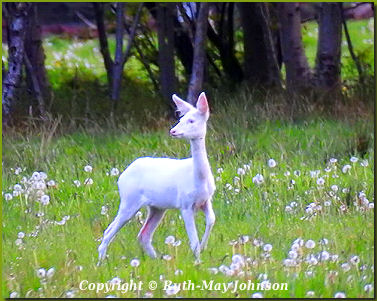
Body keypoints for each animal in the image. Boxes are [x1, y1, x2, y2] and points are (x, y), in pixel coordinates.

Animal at [97, 91, 214, 262]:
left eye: (191, 120)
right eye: (180, 119)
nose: (173, 131)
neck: (198, 178)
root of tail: (121, 176)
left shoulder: (205, 200)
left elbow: (211, 220)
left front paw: (204, 248)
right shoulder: (185, 204)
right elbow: (194, 241)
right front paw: (198, 261)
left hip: (157, 207)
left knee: (143, 234)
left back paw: (157, 259)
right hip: (129, 200)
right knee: (109, 231)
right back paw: (101, 262)